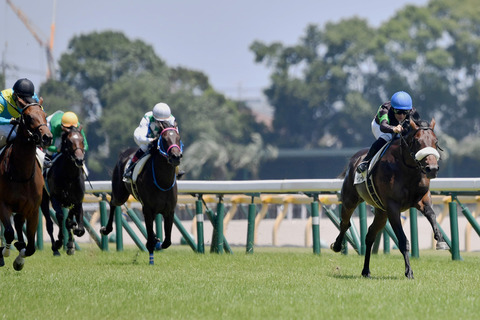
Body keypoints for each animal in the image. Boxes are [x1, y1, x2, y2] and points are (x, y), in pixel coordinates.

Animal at [0, 102, 52, 270]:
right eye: (28, 117)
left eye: (44, 114)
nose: (47, 137)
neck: (20, 174)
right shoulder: (2, 204)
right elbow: (8, 232)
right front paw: (4, 252)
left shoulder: (32, 209)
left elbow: (30, 248)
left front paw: (19, 260)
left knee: (18, 222)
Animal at [40, 125, 86, 255]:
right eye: (69, 142)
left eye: (82, 140)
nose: (79, 160)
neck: (69, 177)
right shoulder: (55, 198)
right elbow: (60, 217)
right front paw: (60, 241)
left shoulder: (77, 201)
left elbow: (77, 226)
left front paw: (70, 243)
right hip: (44, 200)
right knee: (49, 224)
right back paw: (55, 248)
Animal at [100, 124, 183, 264]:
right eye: (164, 139)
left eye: (178, 138)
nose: (176, 156)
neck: (163, 182)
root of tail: (123, 153)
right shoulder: (148, 209)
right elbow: (150, 240)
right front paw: (152, 256)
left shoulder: (169, 211)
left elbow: (167, 242)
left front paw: (157, 241)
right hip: (120, 195)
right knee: (112, 202)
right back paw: (106, 229)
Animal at [332, 119, 448, 278]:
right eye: (417, 141)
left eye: (435, 141)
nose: (432, 169)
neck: (406, 169)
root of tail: (354, 159)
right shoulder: (393, 207)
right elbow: (403, 240)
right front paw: (409, 271)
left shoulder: (422, 199)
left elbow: (432, 215)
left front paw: (441, 241)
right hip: (350, 200)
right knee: (345, 223)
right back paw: (337, 246)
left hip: (381, 212)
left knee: (370, 235)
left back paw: (366, 270)